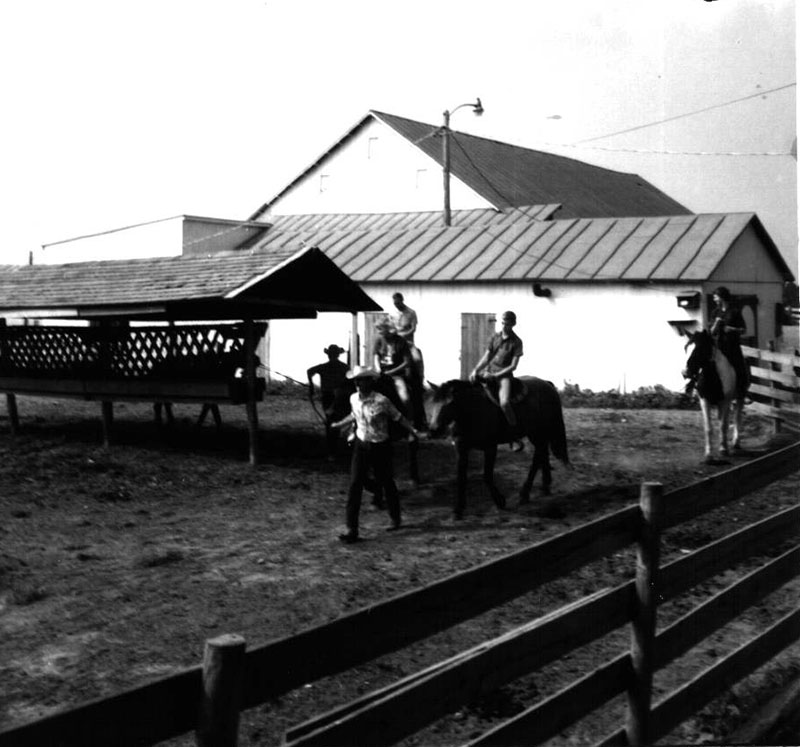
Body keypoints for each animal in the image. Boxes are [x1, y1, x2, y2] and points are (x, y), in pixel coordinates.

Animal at [424, 376, 568, 516]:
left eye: (450, 403)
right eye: (433, 402)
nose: (433, 430)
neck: (473, 411)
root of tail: (547, 384)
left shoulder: (490, 448)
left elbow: (487, 476)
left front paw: (500, 501)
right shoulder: (461, 449)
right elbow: (461, 477)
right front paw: (459, 508)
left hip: (537, 433)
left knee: (537, 457)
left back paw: (525, 493)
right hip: (538, 434)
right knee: (542, 454)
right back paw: (545, 486)